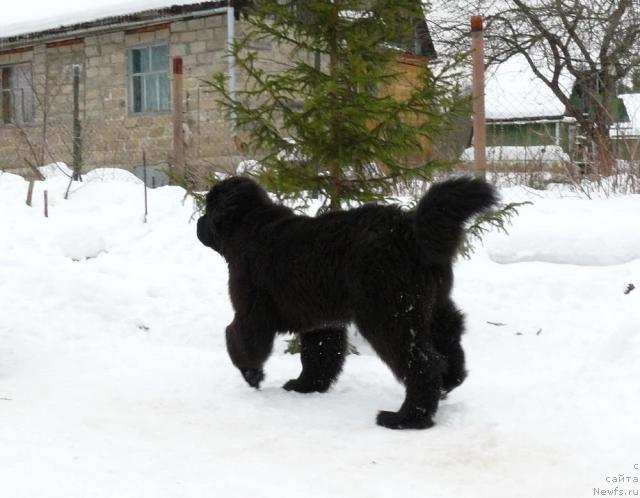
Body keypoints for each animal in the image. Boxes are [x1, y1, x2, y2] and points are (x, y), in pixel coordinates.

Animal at [198, 176, 498, 428]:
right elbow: (319, 355)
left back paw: (405, 418)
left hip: (389, 314)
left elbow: (240, 339)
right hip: (433, 305)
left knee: (423, 363)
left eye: (208, 208)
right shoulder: (321, 321)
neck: (249, 226)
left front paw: (252, 375)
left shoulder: (251, 309)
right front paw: (305, 386)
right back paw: (449, 382)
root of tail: (410, 231)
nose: (198, 223)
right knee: (450, 340)